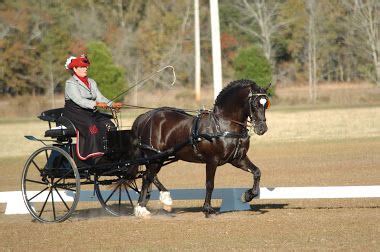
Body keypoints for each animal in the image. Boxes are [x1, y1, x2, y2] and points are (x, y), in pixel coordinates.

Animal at [131, 79, 270, 217]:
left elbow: (257, 172)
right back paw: (141, 208)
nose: (262, 128)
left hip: (159, 157)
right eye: (254, 104)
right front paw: (207, 208)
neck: (223, 125)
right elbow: (210, 184)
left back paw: (161, 200)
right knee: (147, 177)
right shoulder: (212, 160)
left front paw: (247, 196)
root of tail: (145, 117)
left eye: (265, 104)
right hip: (154, 157)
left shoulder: (237, 159)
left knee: (150, 176)